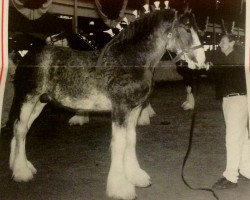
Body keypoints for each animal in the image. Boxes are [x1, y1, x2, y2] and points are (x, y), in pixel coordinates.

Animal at [9, 9, 205, 200]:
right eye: (187, 29)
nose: (202, 62)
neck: (129, 60)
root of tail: (28, 55)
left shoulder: (134, 110)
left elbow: (131, 140)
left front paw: (136, 176)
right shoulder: (120, 109)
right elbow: (119, 143)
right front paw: (120, 188)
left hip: (40, 102)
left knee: (21, 129)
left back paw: (19, 165)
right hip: (28, 98)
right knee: (20, 129)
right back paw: (21, 172)